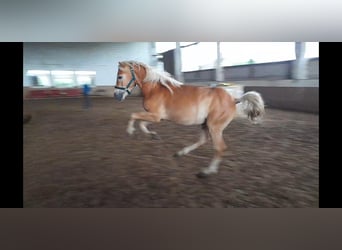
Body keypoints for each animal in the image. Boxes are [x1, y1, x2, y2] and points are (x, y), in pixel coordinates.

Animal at [113, 60, 266, 178]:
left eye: (120, 76)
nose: (116, 95)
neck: (154, 89)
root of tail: (234, 99)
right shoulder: (157, 117)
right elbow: (142, 124)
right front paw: (153, 135)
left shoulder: (155, 116)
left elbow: (133, 116)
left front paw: (130, 131)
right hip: (206, 124)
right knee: (203, 140)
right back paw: (180, 153)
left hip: (214, 126)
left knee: (220, 148)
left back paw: (206, 172)